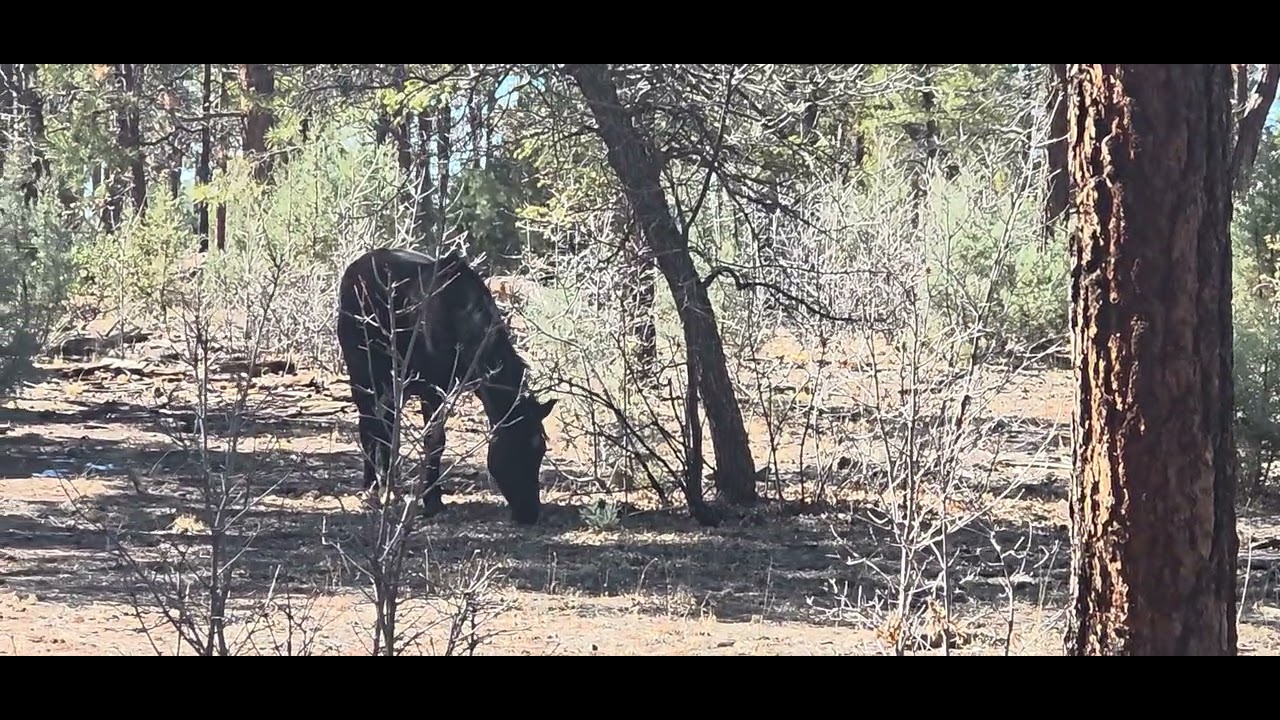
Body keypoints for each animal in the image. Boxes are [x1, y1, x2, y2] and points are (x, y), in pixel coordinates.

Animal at [336, 247, 557, 525]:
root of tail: (355, 268)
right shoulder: (432, 388)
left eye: (540, 450)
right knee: (369, 424)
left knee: (385, 426)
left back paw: (389, 485)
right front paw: (431, 501)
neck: (457, 313)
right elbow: (434, 440)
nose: (529, 513)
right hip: (363, 374)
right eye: (514, 448)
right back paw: (372, 489)